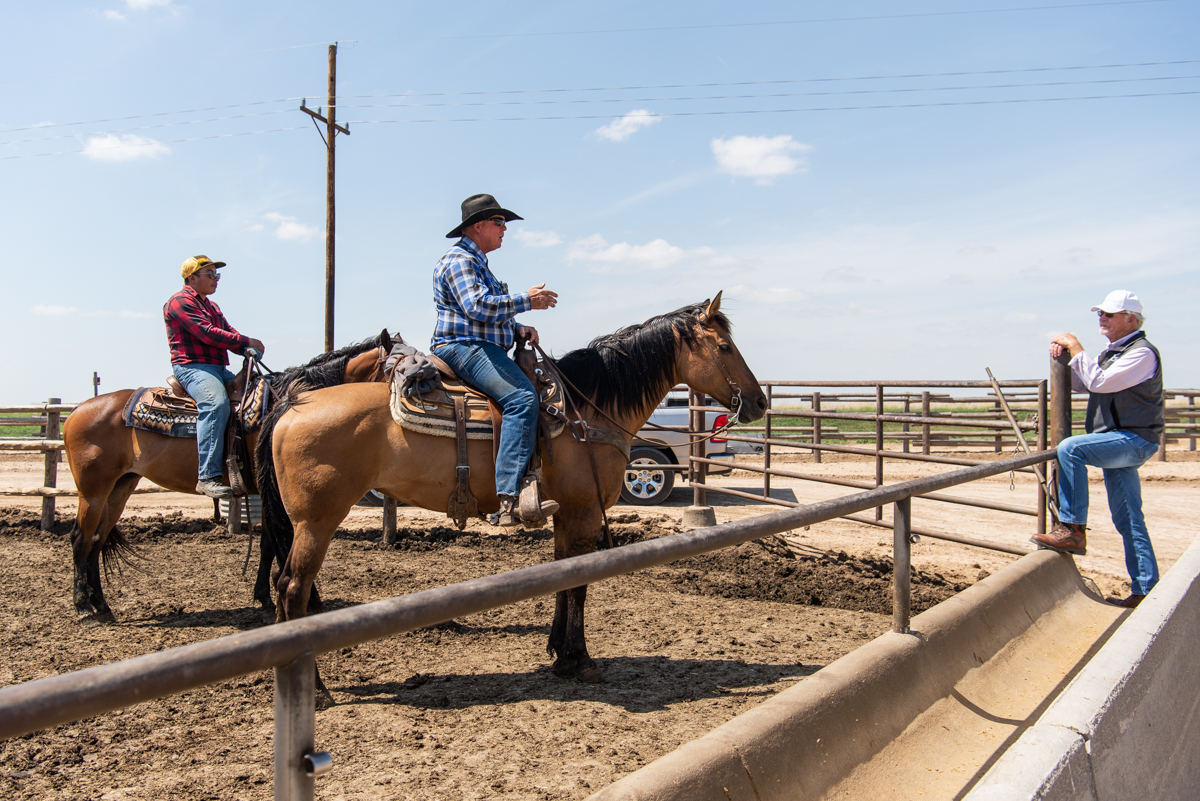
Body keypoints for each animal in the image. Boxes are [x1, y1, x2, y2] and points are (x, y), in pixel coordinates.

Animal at [63, 328, 391, 623]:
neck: (290, 404)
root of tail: (77, 411)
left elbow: (268, 545)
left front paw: (265, 598)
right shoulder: (272, 491)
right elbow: (276, 542)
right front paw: (298, 601)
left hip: (120, 487)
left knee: (96, 540)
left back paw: (102, 606)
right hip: (93, 490)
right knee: (80, 538)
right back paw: (84, 609)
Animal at [260, 293, 768, 681]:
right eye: (724, 346)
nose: (760, 402)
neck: (587, 410)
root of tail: (293, 405)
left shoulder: (567, 514)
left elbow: (563, 577)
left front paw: (560, 653)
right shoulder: (584, 512)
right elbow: (579, 584)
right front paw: (581, 660)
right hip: (317, 521)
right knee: (292, 589)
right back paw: (318, 691)